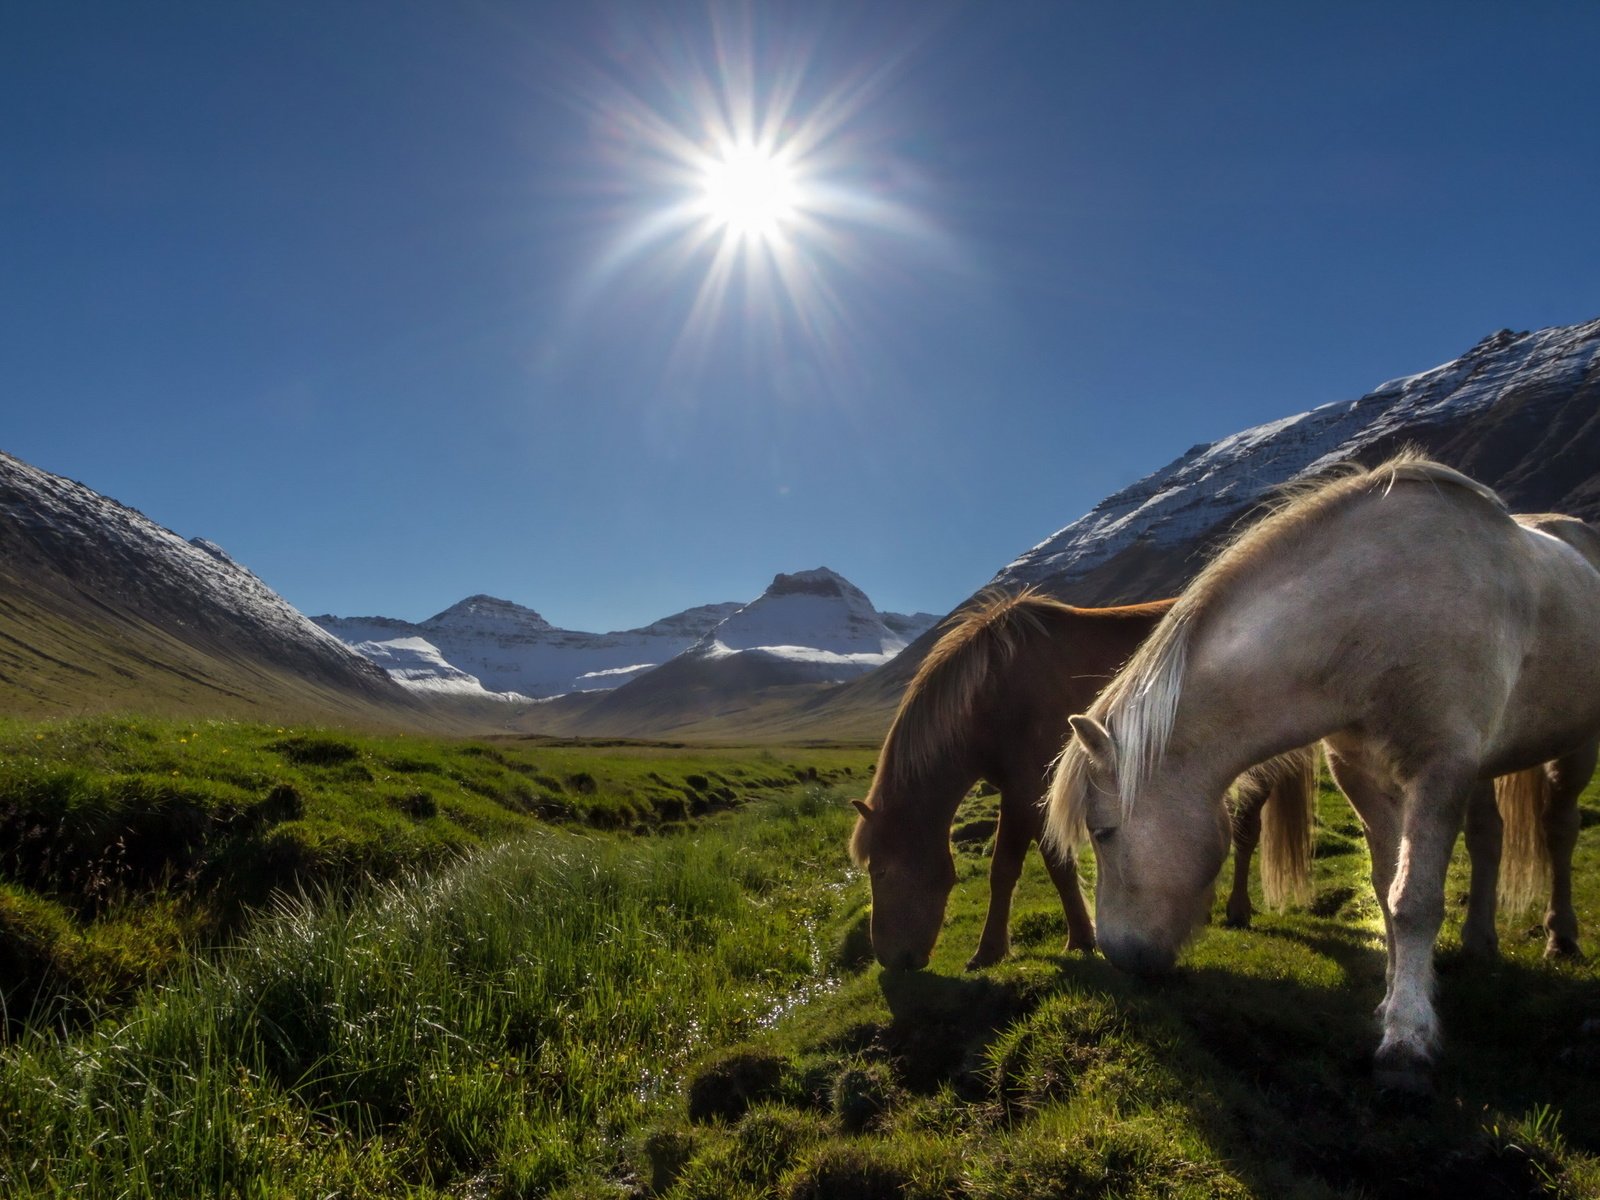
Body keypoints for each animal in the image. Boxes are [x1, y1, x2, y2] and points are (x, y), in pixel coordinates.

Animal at [851, 592, 1312, 979]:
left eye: (881, 870)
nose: (889, 959)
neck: (994, 692)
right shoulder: (1032, 794)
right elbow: (1057, 865)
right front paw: (1080, 937)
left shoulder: (1023, 792)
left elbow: (1006, 869)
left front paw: (990, 951)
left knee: (1248, 831)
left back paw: (1238, 908)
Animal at [1043, 454, 1600, 1094]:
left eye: (1104, 832)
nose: (1118, 954)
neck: (1371, 613)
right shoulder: (1360, 773)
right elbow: (1386, 891)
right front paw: (1392, 1004)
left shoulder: (1440, 766)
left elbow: (1414, 901)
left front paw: (1407, 1043)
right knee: (1490, 838)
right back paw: (1479, 943)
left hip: (1576, 746)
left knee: (1559, 831)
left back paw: (1561, 936)